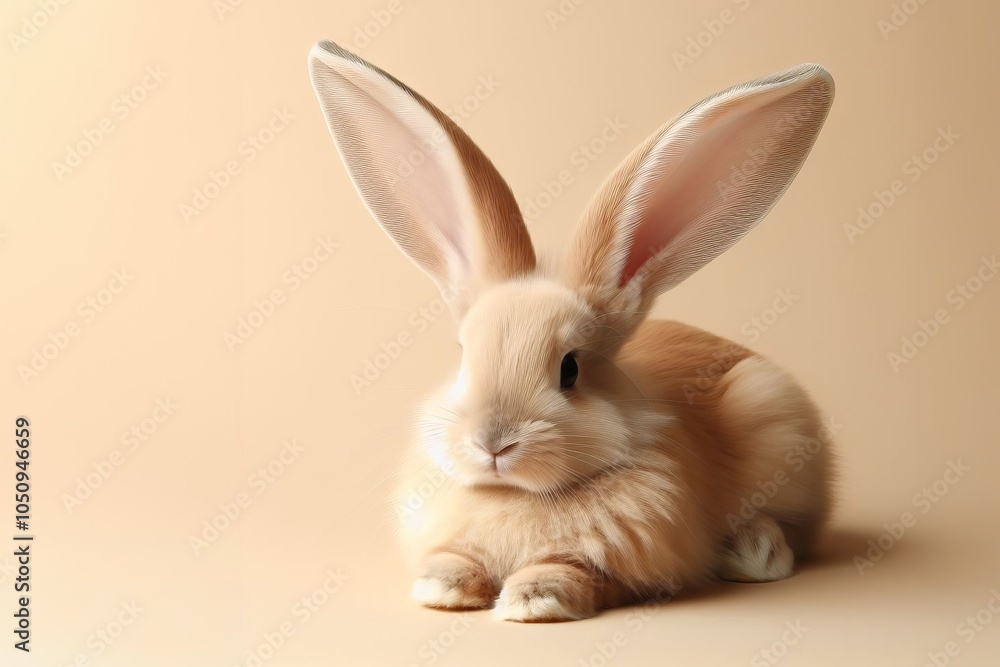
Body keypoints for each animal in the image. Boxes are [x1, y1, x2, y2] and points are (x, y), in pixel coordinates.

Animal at [309, 39, 835, 622]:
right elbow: (453, 558)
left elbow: (577, 571)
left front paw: (534, 600)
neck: (517, 495)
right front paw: (442, 588)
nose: (493, 443)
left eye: (570, 369)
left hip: (776, 417)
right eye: (464, 357)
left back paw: (756, 552)